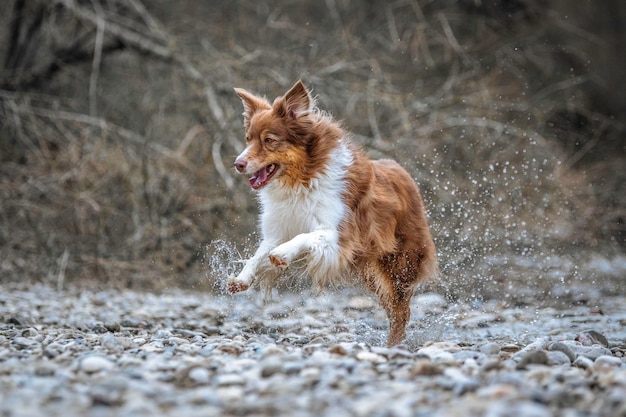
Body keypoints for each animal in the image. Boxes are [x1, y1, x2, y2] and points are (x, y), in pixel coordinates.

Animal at [227, 79, 436, 344]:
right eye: (248, 139)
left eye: (269, 140)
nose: (238, 164)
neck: (301, 180)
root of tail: (402, 171)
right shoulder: (278, 228)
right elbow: (258, 255)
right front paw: (242, 279)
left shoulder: (340, 235)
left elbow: (303, 237)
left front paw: (283, 254)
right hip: (370, 268)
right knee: (391, 308)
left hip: (399, 265)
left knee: (401, 311)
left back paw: (393, 345)